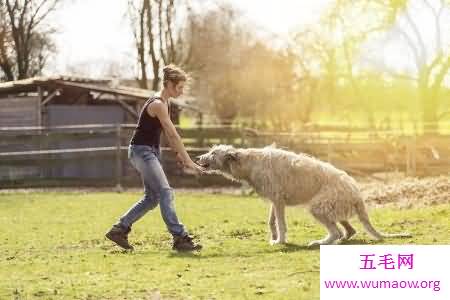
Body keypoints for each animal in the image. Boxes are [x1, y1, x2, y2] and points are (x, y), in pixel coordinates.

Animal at [198, 145, 412, 246]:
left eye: (213, 152)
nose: (198, 158)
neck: (247, 161)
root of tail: (357, 194)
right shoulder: (275, 200)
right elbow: (271, 221)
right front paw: (274, 236)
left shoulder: (278, 199)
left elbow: (281, 223)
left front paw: (280, 241)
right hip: (336, 208)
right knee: (349, 230)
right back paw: (341, 239)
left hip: (319, 206)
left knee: (335, 231)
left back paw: (322, 242)